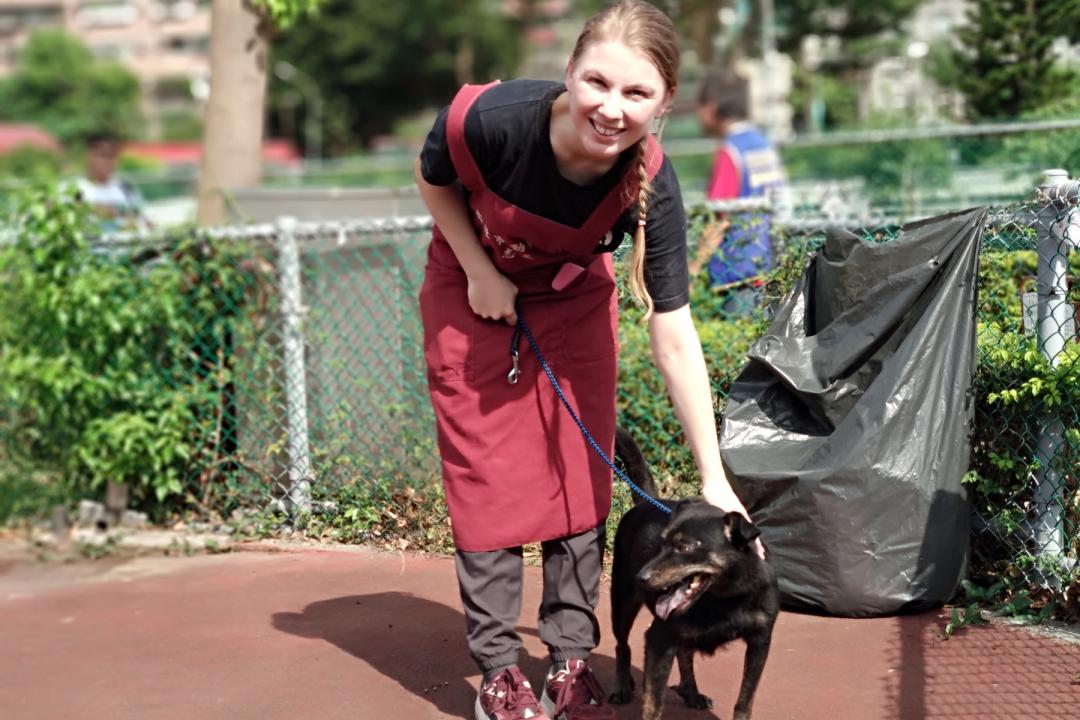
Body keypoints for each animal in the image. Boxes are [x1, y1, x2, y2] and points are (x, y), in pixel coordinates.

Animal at [609, 427, 777, 720]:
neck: (725, 598)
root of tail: (647, 500)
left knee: (684, 655)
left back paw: (691, 692)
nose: (641, 577)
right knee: (622, 644)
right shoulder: (658, 639)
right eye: (662, 543)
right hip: (621, 602)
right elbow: (653, 703)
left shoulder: (760, 641)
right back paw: (622, 686)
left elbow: (745, 699)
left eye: (685, 547)